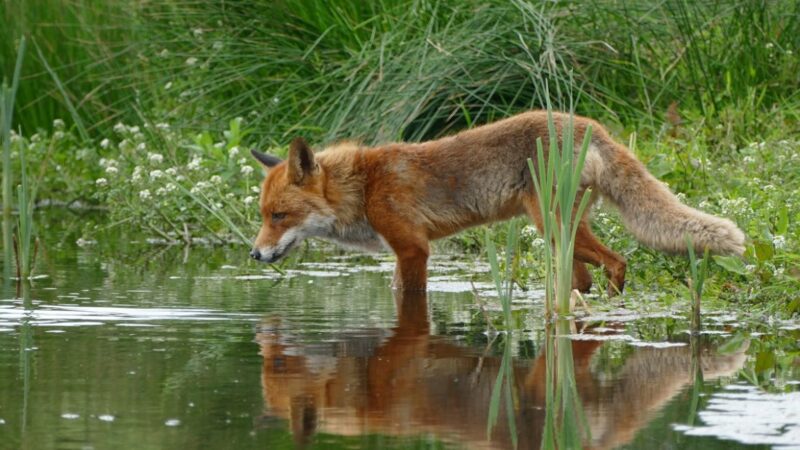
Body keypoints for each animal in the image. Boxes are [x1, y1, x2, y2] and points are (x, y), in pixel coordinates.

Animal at [248, 110, 744, 296]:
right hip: (562, 236)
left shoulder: (413, 249)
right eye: (263, 216)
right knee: (585, 278)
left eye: (280, 216)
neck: (364, 187)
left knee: (618, 261)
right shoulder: (404, 251)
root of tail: (590, 125)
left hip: (552, 227)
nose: (254, 254)